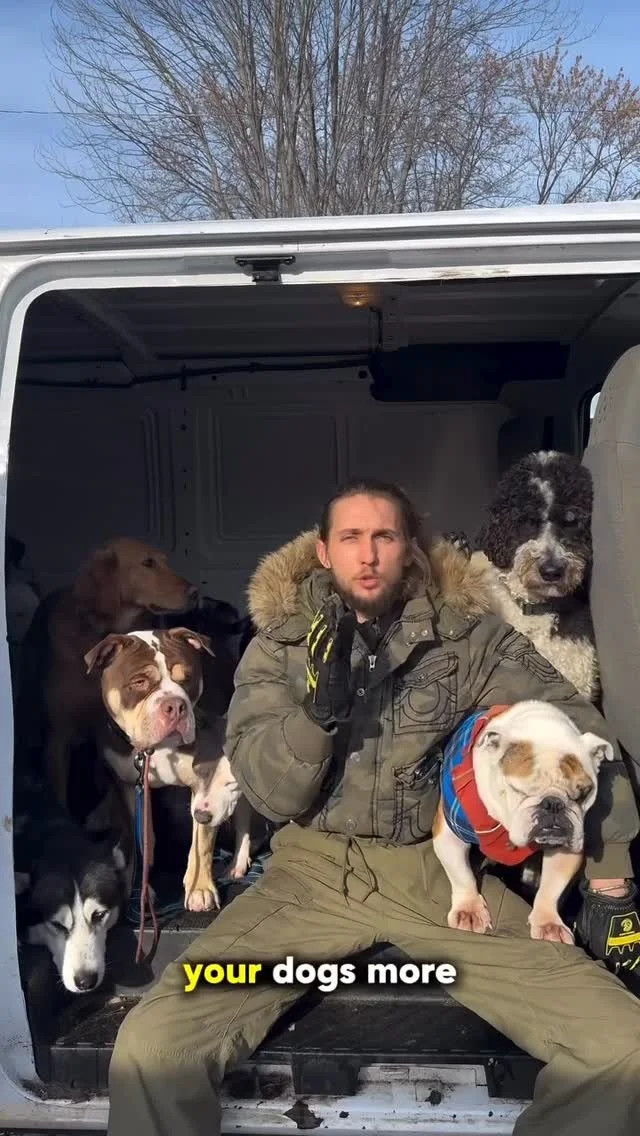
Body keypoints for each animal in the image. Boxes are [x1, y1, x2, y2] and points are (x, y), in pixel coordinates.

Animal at [84, 626, 251, 913]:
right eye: (139, 682)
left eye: (188, 678)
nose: (174, 705)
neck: (159, 750)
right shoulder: (129, 787)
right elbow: (141, 840)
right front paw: (141, 891)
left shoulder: (206, 783)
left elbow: (202, 842)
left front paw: (200, 890)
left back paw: (238, 863)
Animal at [432, 700, 614, 944]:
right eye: (519, 790)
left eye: (583, 794)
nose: (553, 804)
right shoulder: (449, 834)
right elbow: (460, 873)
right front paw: (469, 910)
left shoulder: (565, 849)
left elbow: (552, 887)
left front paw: (549, 923)